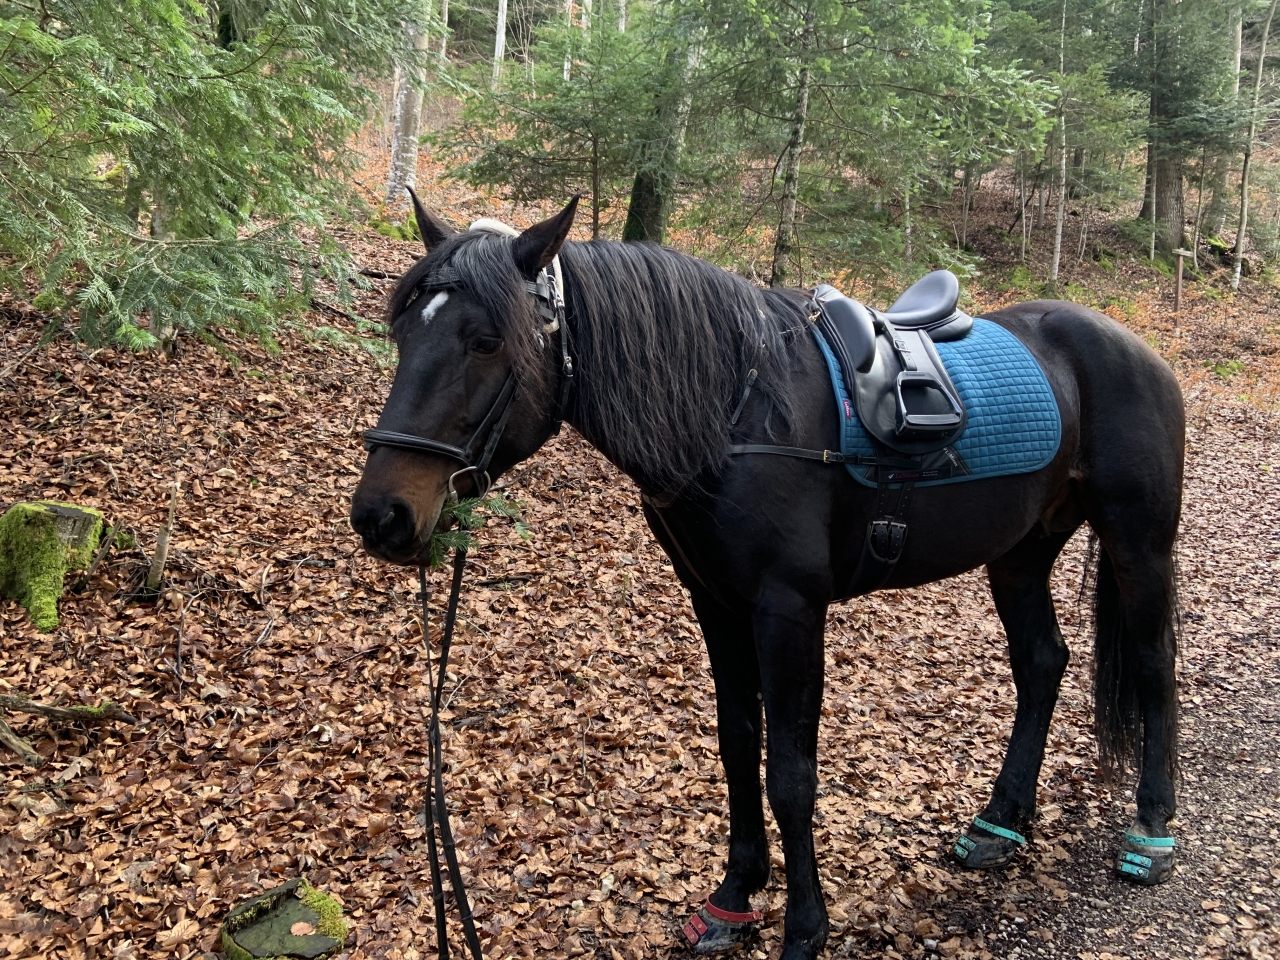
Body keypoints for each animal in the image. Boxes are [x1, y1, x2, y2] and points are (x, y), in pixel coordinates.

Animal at [349, 195, 1184, 960]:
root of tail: (1140, 350)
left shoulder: (789, 610)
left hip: (1139, 544)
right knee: (1042, 663)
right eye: (405, 330)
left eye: (488, 340)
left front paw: (804, 928)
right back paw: (1001, 822)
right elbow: (736, 741)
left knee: (1152, 667)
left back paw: (1150, 831)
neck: (734, 411)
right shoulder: (717, 603)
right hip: (1019, 554)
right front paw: (735, 894)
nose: (382, 515)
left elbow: (790, 770)